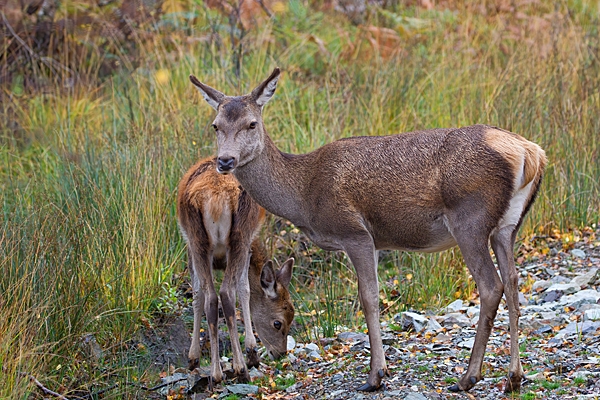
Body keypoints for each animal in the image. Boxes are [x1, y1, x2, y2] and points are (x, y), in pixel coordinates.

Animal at [176, 155, 296, 382]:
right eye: (278, 323)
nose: (280, 353)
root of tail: (214, 198)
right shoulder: (247, 246)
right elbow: (245, 290)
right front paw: (251, 353)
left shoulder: (189, 250)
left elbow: (197, 295)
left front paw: (193, 358)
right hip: (239, 236)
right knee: (226, 293)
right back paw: (241, 368)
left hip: (198, 240)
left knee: (212, 298)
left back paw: (216, 374)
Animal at [189, 69, 548, 394]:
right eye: (216, 125)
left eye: (252, 123)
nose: (225, 160)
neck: (304, 194)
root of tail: (531, 153)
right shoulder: (374, 241)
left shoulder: (354, 233)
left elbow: (369, 298)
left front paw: (375, 375)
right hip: (507, 225)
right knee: (513, 282)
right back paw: (513, 377)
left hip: (469, 219)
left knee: (491, 286)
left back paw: (468, 377)